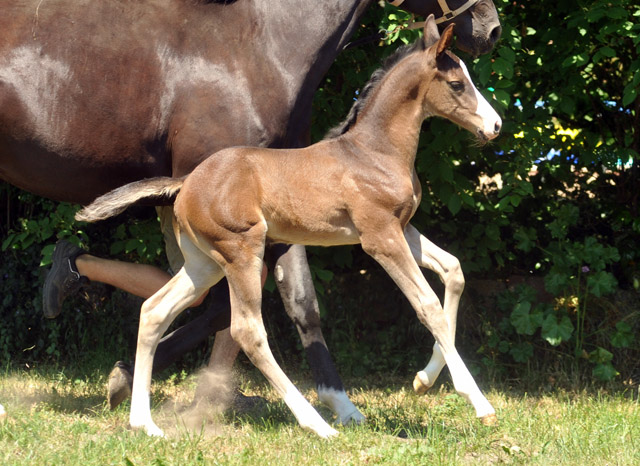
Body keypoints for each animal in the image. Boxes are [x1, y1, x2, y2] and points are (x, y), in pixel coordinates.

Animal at [0, 0, 500, 420]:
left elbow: (451, 272)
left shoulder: (398, 228)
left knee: (166, 304)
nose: (495, 125)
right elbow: (426, 305)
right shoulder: (378, 237)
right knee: (234, 318)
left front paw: (419, 381)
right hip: (241, 244)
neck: (371, 151)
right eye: (458, 83)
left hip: (216, 250)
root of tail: (188, 184)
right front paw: (474, 399)